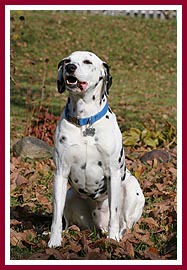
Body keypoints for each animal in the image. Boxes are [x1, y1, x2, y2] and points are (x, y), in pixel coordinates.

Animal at [47, 50, 145, 249]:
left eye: (87, 61)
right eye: (67, 61)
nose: (70, 67)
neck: (85, 122)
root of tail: (99, 225)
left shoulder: (113, 174)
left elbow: (115, 214)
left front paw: (113, 240)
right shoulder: (60, 173)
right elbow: (56, 217)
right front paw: (54, 241)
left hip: (132, 190)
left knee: (124, 224)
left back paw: (117, 236)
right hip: (70, 195)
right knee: (68, 222)